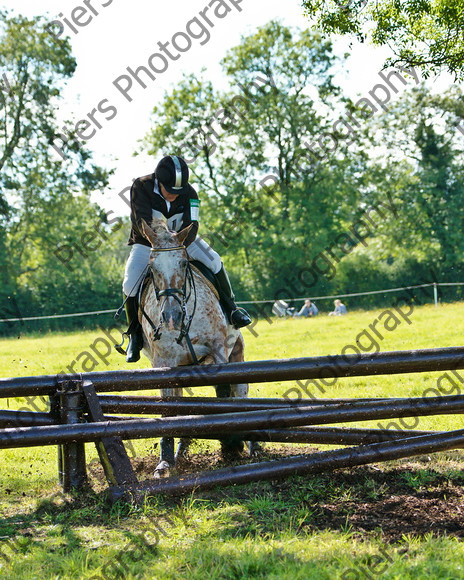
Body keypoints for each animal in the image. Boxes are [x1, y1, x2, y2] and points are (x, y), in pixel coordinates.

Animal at [140, 218, 258, 476]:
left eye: (184, 263)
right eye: (152, 268)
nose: (171, 317)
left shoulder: (218, 351)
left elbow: (223, 393)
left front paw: (231, 446)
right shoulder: (164, 364)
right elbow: (170, 409)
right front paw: (165, 462)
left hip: (236, 353)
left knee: (240, 393)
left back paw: (253, 446)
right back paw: (180, 450)